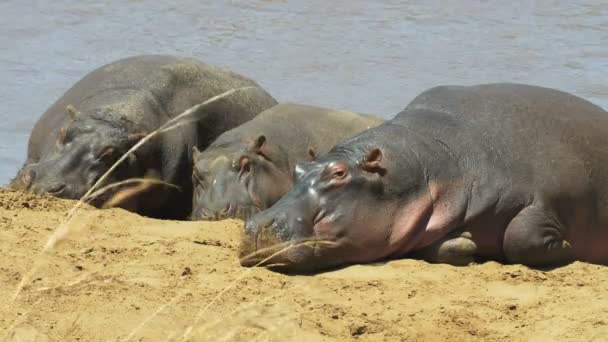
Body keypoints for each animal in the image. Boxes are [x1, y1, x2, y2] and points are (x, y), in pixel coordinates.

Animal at [240, 83, 608, 272]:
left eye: (339, 173)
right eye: (298, 169)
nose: (257, 225)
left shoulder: (543, 197)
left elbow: (521, 235)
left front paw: (567, 246)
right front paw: (464, 243)